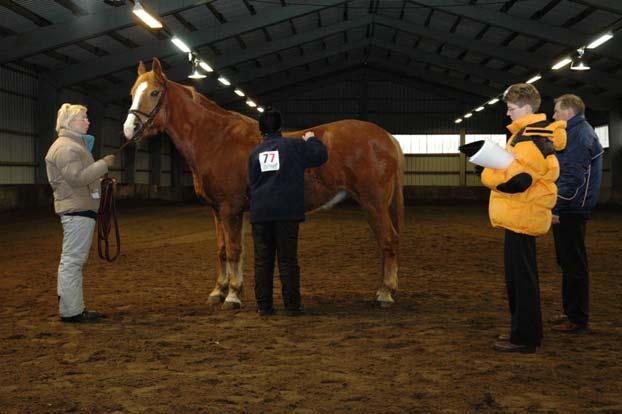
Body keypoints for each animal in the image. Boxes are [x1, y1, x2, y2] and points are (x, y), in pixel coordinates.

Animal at [123, 59, 404, 308]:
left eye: (155, 92)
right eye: (133, 93)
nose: (129, 128)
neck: (216, 139)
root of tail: (386, 137)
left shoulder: (230, 208)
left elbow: (234, 250)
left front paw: (233, 295)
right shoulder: (217, 210)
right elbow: (222, 250)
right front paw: (218, 291)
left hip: (373, 203)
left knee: (388, 241)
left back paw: (385, 293)